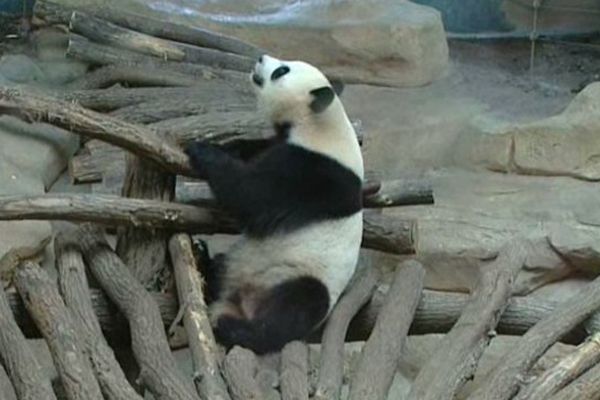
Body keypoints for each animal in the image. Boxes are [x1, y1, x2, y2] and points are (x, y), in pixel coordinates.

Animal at [185, 53, 364, 354]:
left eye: (282, 71)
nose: (260, 57)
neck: (320, 124)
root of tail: (243, 304)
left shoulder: (314, 172)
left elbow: (252, 196)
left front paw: (201, 150)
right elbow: (251, 150)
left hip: (301, 276)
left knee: (295, 309)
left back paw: (237, 330)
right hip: (238, 265)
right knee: (221, 270)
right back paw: (203, 258)